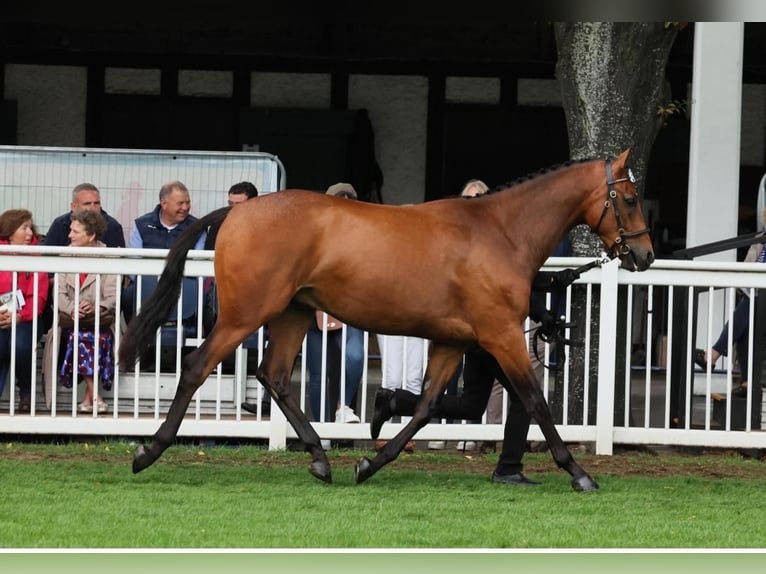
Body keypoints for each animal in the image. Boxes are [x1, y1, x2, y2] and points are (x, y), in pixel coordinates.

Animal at [118, 146, 656, 492]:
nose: (645, 256)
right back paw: (147, 452)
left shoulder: (452, 342)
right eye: (630, 199)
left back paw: (321, 460)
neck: (500, 232)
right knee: (197, 367)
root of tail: (235, 214)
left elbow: (425, 407)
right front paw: (580, 474)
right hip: (246, 313)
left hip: (293, 314)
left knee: (275, 376)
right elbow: (535, 402)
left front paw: (370, 460)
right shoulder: (501, 336)